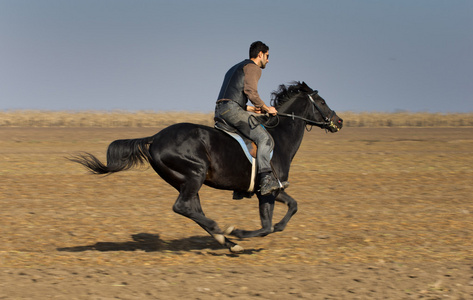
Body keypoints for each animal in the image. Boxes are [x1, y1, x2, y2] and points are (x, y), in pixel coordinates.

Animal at [70, 82, 342, 253]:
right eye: (321, 101)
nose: (338, 121)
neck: (280, 138)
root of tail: (155, 137)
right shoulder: (267, 190)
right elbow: (266, 227)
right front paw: (238, 231)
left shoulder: (272, 189)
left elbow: (291, 208)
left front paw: (244, 234)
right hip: (195, 174)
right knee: (182, 207)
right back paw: (223, 232)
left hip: (184, 181)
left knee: (192, 210)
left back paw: (225, 239)